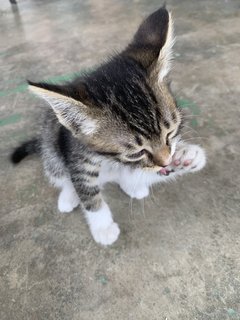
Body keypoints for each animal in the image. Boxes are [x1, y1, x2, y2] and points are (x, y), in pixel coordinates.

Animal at [11, 7, 206, 246]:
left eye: (170, 133)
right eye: (136, 152)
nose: (168, 161)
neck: (113, 162)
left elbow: (155, 170)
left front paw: (189, 156)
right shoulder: (76, 157)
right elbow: (87, 192)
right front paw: (102, 227)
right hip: (50, 143)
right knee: (60, 172)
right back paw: (68, 196)